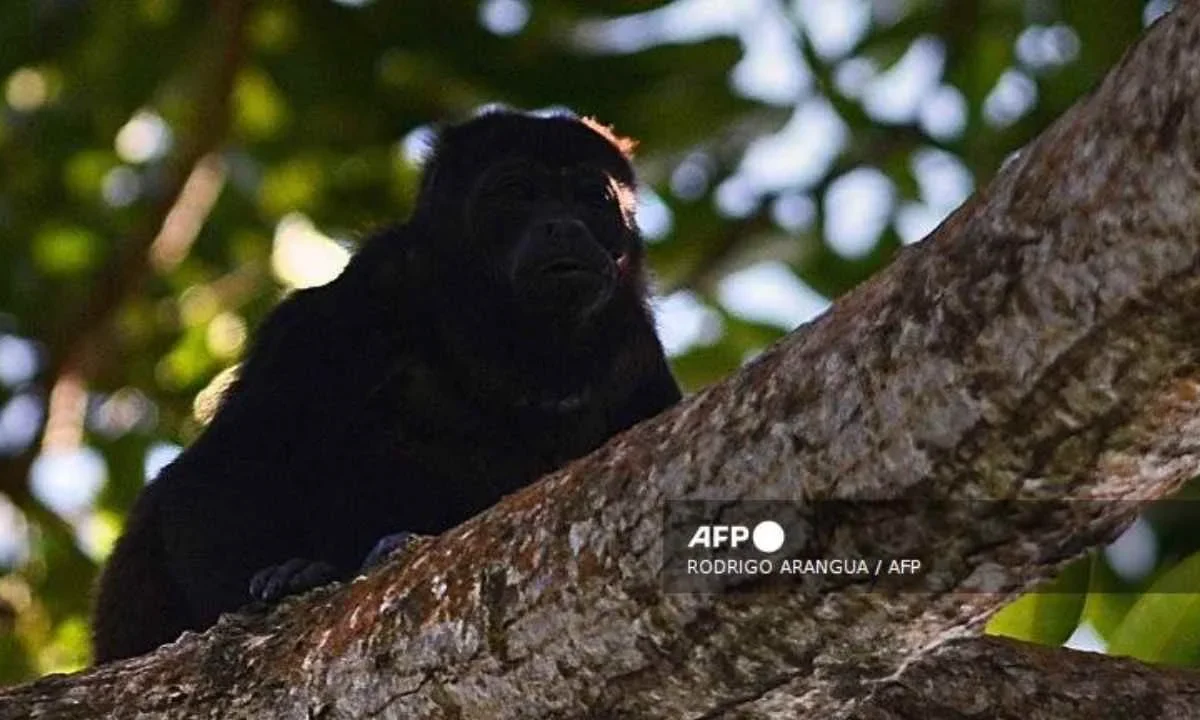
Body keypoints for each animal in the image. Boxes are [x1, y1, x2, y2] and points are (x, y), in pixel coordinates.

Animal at [90, 108, 682, 663]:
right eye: (516, 192)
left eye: (591, 197)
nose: (565, 225)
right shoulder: (352, 302)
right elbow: (218, 470)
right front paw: (281, 582)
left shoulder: (636, 359)